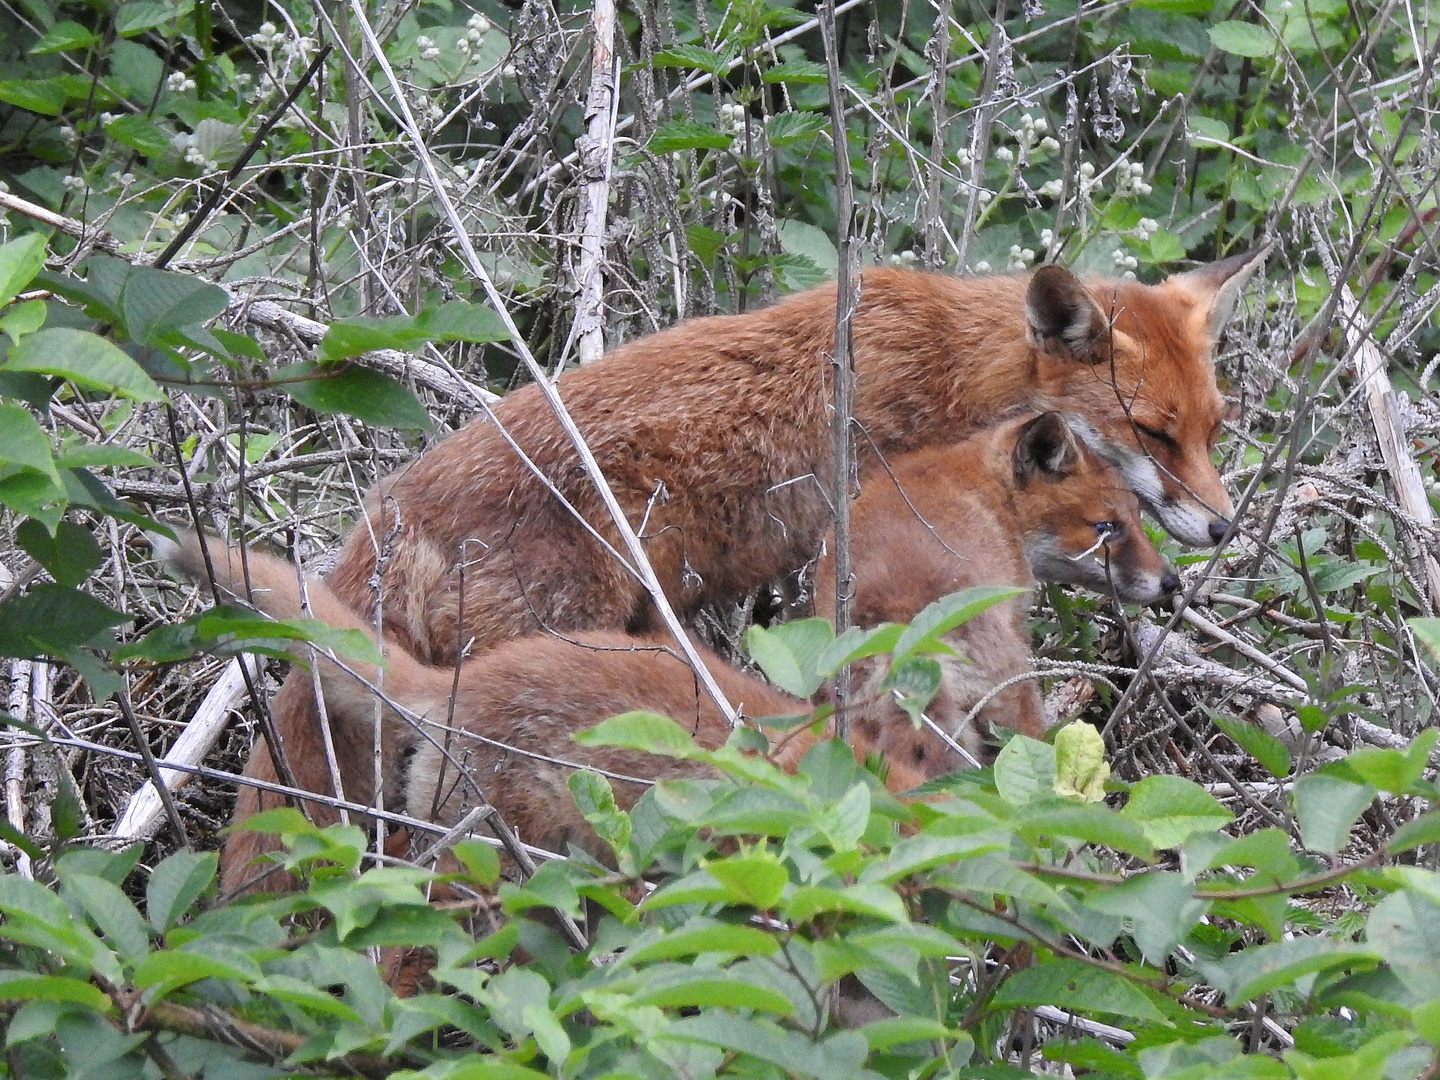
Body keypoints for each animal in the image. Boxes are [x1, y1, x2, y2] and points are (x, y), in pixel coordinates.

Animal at [817, 408, 1175, 771]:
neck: (988, 492)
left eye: (1137, 518)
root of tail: (905, 631)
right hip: (1015, 698)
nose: (1172, 581)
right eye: (1106, 528)